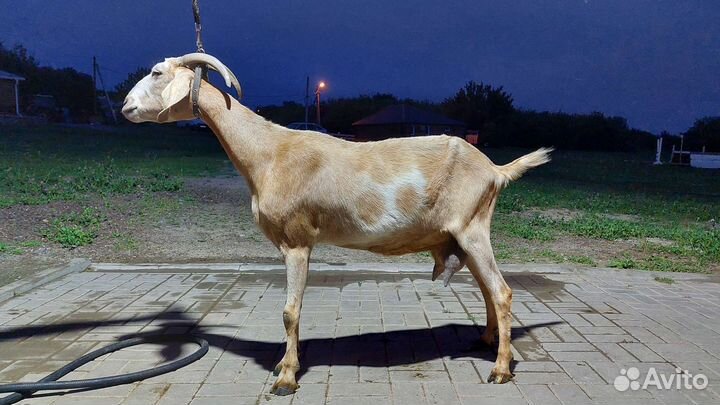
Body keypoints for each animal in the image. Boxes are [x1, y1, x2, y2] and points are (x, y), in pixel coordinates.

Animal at [122, 53, 552, 395]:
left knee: (502, 292)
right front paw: (284, 365)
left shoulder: (297, 241)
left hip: (473, 229)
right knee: (488, 291)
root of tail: (495, 170)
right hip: (463, 236)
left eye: (157, 72)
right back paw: (485, 342)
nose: (125, 105)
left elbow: (290, 311)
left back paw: (500, 370)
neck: (269, 153)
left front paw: (286, 378)